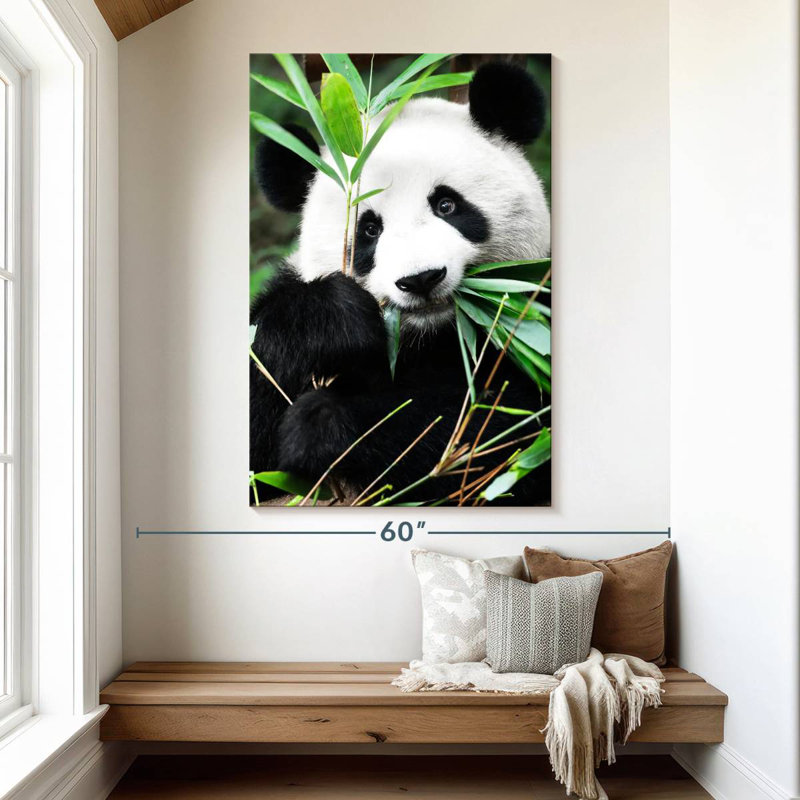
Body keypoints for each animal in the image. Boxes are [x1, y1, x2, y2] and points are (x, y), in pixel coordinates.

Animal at [250, 61, 551, 505]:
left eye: (447, 205)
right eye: (369, 229)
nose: (421, 279)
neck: (428, 337)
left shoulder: (531, 319)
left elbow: (501, 428)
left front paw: (323, 424)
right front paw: (333, 320)